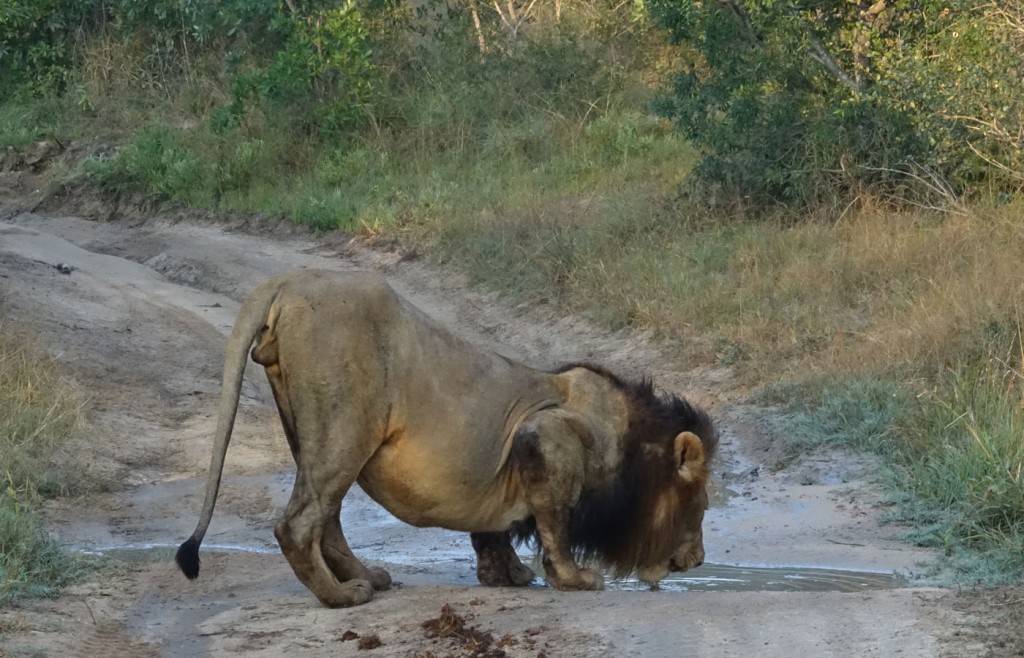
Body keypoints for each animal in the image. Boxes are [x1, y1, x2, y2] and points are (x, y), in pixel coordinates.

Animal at [176, 268, 716, 605]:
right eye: (701, 506)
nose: (698, 560)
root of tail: (290, 280)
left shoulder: (516, 451)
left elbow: (495, 529)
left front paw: (506, 576)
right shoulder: (547, 434)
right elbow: (554, 522)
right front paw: (575, 579)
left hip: (308, 432)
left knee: (325, 518)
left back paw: (367, 578)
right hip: (346, 426)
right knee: (298, 523)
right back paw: (344, 598)